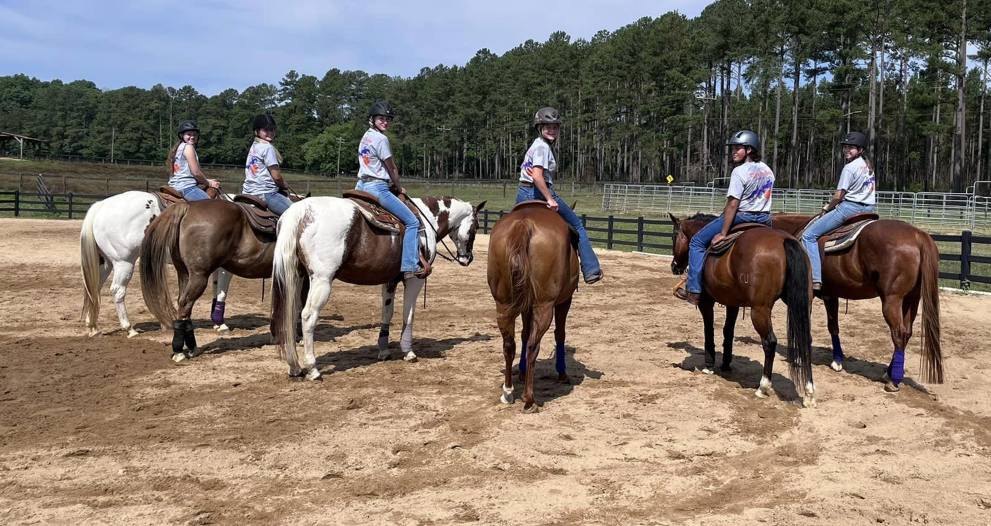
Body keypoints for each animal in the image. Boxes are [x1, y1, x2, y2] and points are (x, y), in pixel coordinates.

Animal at [140, 198, 280, 364]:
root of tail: (187, 207)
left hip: (184, 274)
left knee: (184, 305)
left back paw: (192, 348)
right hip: (199, 276)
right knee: (185, 304)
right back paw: (179, 352)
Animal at [272, 196, 488, 382]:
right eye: (476, 227)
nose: (468, 258)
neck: (426, 220)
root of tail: (300, 211)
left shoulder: (390, 280)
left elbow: (387, 313)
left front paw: (383, 351)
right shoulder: (415, 279)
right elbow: (408, 314)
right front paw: (408, 351)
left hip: (297, 277)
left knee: (290, 315)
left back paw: (294, 366)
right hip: (321, 280)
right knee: (308, 316)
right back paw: (313, 368)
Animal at [488, 202, 580, 412]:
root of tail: (524, 224)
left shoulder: (525, 305)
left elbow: (523, 333)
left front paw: (521, 372)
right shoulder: (564, 301)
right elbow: (560, 334)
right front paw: (562, 374)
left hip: (503, 304)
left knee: (509, 345)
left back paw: (508, 392)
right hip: (544, 305)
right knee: (532, 345)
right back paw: (529, 399)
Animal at [672, 213, 816, 408]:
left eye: (674, 236)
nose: (674, 266)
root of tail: (784, 240)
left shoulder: (706, 302)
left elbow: (709, 329)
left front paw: (709, 365)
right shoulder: (732, 302)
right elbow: (728, 331)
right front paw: (726, 365)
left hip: (760, 310)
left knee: (770, 342)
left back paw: (763, 387)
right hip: (803, 304)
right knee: (805, 339)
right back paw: (809, 393)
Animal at [772, 214, 940, 392]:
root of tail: (918, 235)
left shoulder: (805, 296)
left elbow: (803, 325)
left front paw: (798, 358)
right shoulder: (831, 295)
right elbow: (833, 327)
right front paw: (837, 360)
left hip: (892, 300)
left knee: (899, 334)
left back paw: (893, 380)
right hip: (912, 299)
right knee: (907, 333)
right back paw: (889, 373)